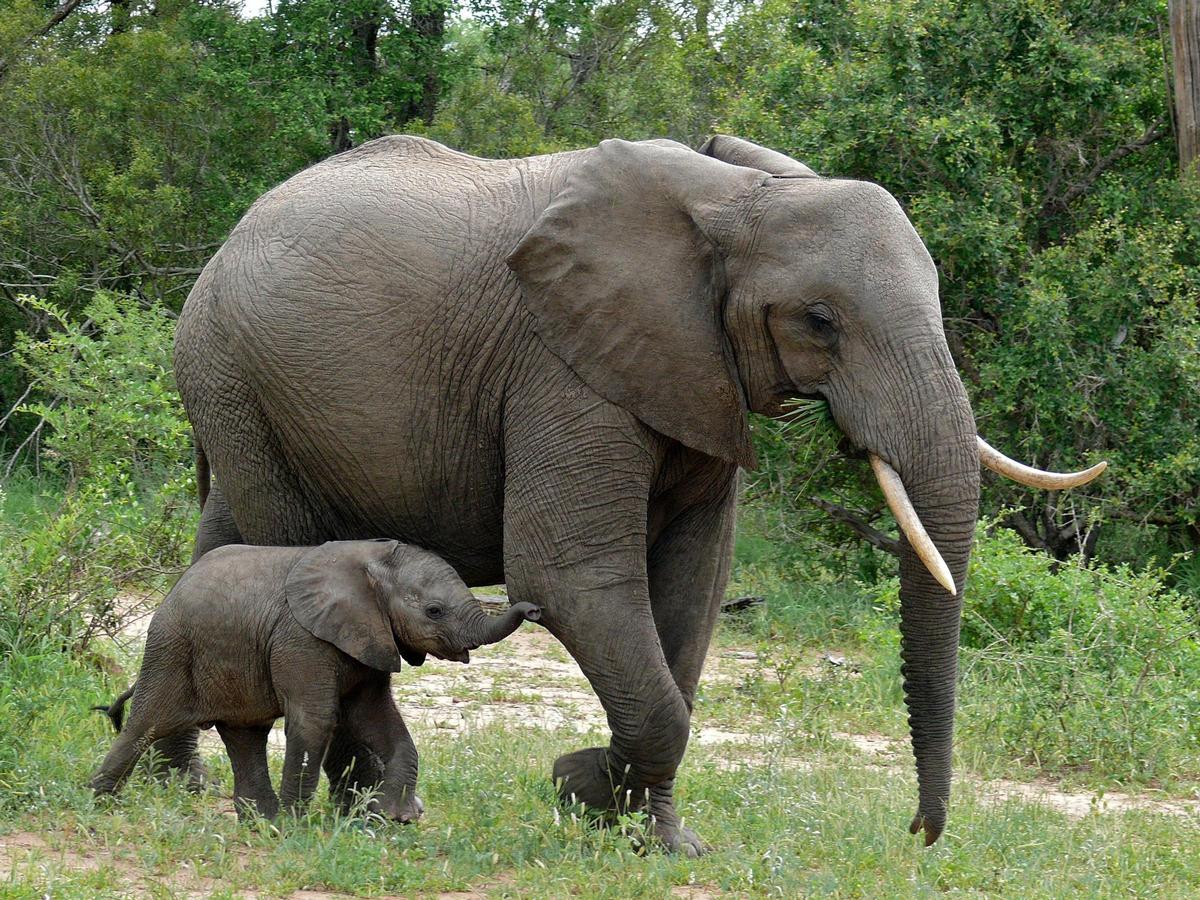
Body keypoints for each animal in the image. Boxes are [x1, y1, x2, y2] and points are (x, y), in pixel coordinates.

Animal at [89, 539, 541, 821]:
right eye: (434, 611)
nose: (534, 609)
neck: (371, 563)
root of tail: (177, 584)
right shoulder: (303, 638)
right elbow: (316, 721)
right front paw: (296, 827)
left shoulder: (368, 640)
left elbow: (378, 720)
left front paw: (396, 817)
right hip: (170, 649)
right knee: (146, 723)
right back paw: (98, 803)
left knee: (245, 735)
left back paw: (261, 823)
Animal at [171, 133, 1105, 852]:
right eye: (820, 321)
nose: (919, 833)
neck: (736, 200)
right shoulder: (562, 367)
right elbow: (569, 576)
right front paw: (575, 786)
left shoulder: (695, 376)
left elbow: (692, 591)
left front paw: (652, 837)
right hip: (238, 378)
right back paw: (349, 815)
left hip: (241, 395)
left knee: (222, 550)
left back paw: (176, 784)